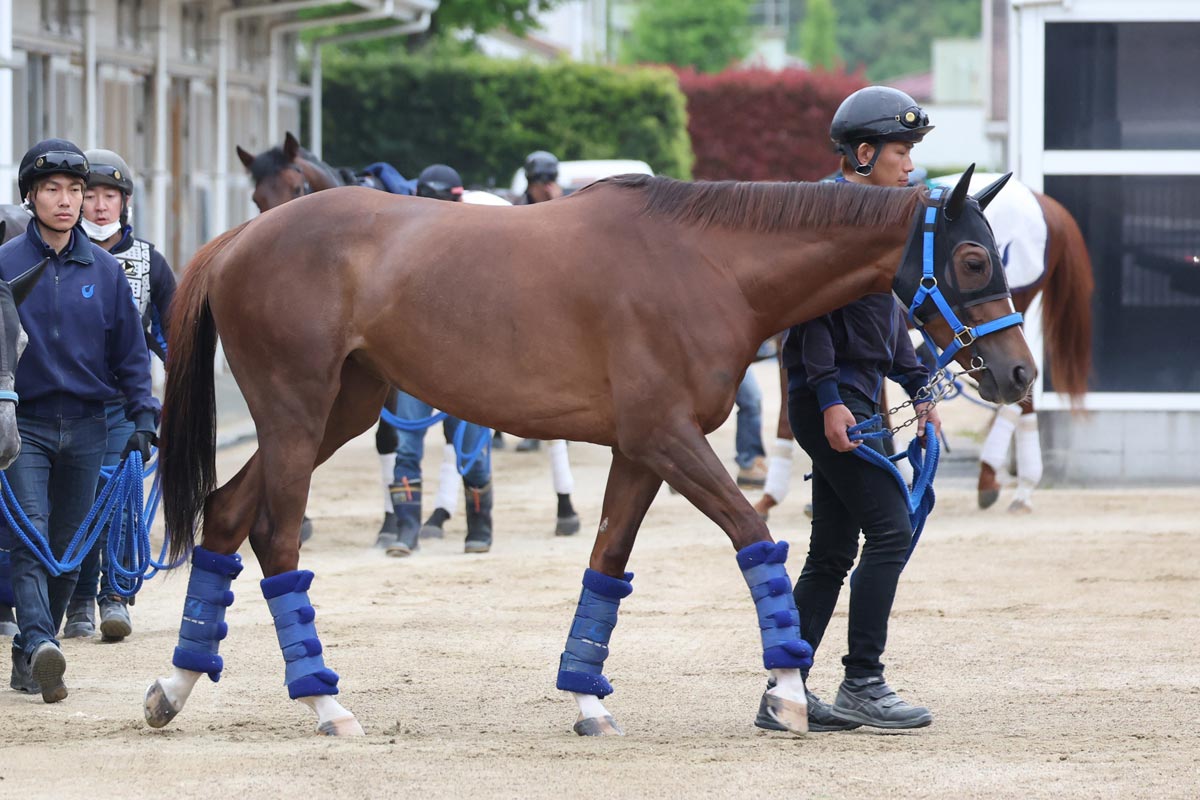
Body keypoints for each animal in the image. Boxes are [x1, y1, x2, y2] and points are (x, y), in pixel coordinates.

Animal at [143, 167, 1035, 738]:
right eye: (971, 259)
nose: (1020, 371)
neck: (707, 263)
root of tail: (243, 236)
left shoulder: (642, 452)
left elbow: (607, 564)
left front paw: (588, 701)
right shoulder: (669, 440)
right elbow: (755, 538)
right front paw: (785, 688)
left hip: (340, 410)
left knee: (228, 514)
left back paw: (174, 687)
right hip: (297, 413)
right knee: (275, 535)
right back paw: (323, 704)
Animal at [753, 175, 1093, 520]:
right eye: (975, 263)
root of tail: (1044, 203)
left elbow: (789, 414)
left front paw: (770, 496)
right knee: (1022, 391)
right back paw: (1017, 486)